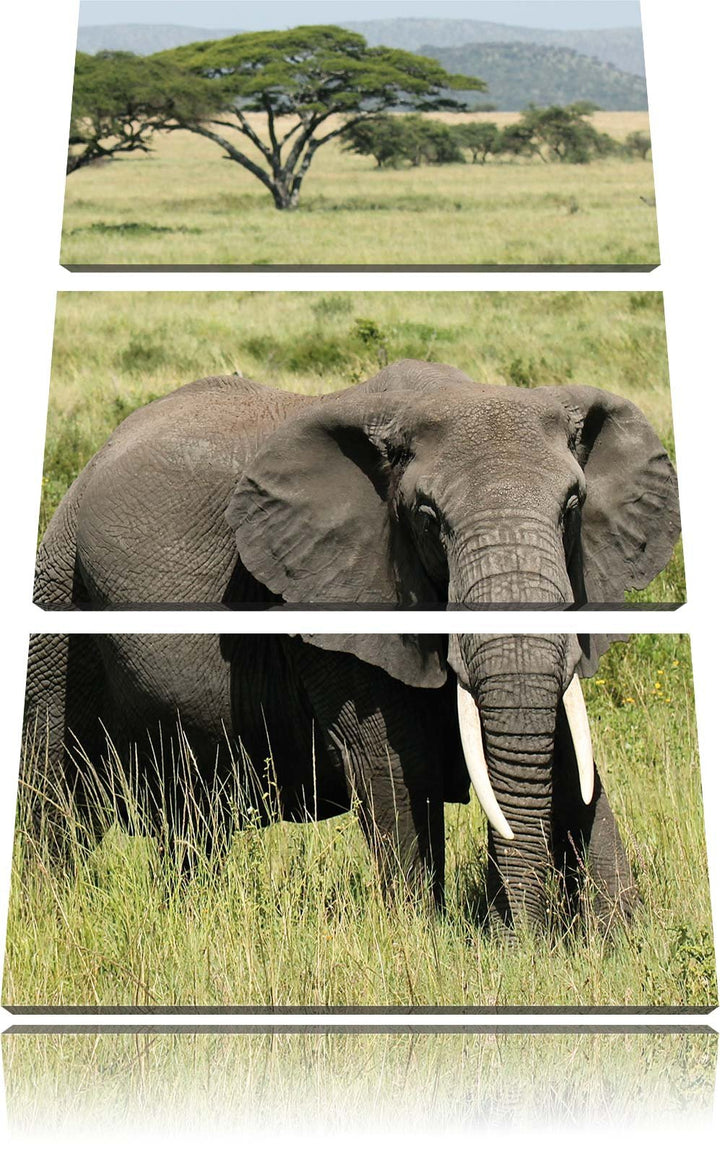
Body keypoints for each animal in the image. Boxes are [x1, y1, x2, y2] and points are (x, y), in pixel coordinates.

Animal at [23, 630, 638, 931]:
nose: (518, 941)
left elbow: (572, 763)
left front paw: (613, 943)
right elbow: (389, 761)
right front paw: (422, 940)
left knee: (193, 828)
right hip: (56, 642)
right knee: (55, 798)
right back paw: (47, 914)